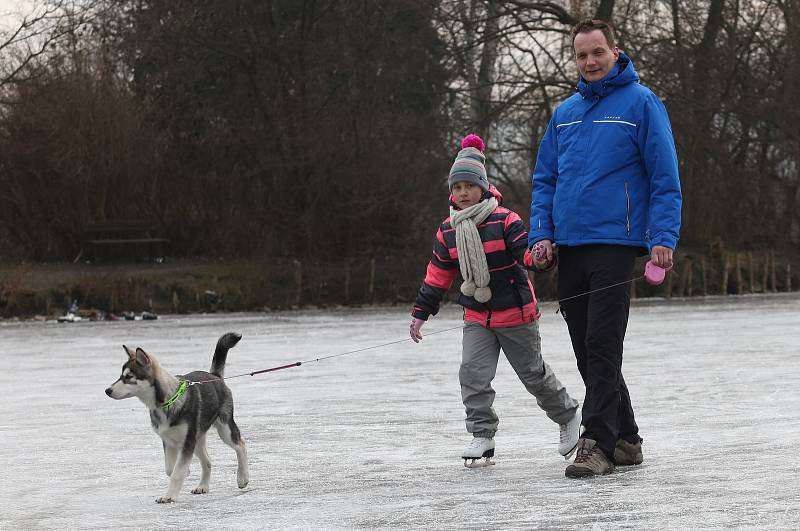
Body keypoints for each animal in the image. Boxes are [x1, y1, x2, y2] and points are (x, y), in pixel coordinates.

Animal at [106, 332, 248, 502]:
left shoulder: (187, 442)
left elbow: (177, 472)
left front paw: (169, 496)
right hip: (197, 438)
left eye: (129, 377)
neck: (167, 401)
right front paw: (185, 474)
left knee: (241, 445)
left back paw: (242, 478)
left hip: (223, 429)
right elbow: (170, 469)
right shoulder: (169, 441)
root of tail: (214, 375)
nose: (107, 390)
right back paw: (203, 486)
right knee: (207, 461)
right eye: (121, 375)